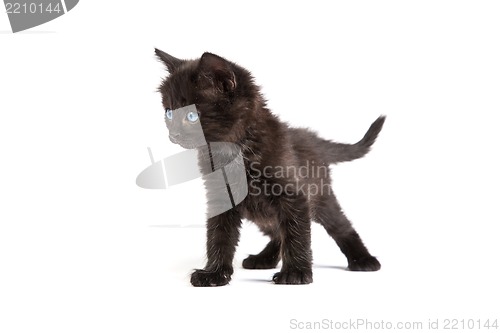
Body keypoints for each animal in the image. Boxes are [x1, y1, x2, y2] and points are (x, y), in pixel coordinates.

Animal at [154, 49, 384, 286]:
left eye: (192, 116)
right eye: (169, 112)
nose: (173, 135)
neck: (234, 151)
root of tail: (311, 138)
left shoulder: (293, 195)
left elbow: (295, 233)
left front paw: (295, 272)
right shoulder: (222, 197)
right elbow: (218, 235)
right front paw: (214, 273)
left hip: (321, 197)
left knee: (340, 226)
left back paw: (363, 259)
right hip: (261, 213)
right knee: (276, 231)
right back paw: (263, 258)